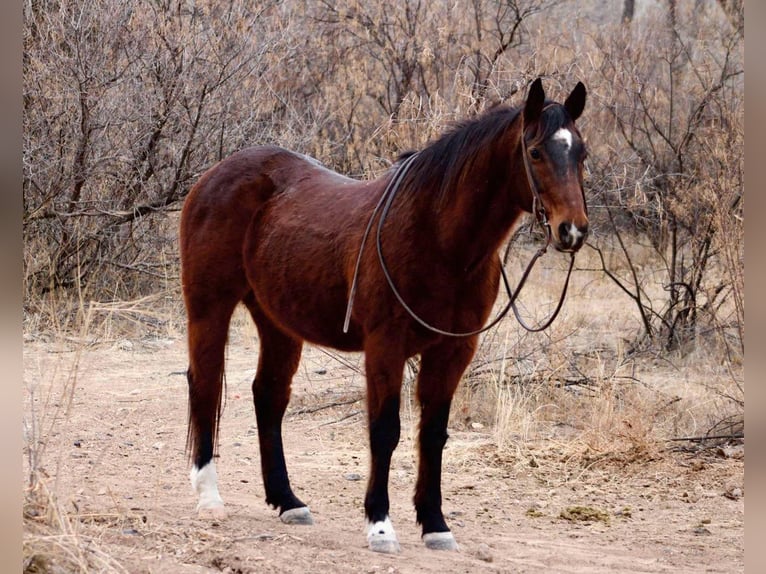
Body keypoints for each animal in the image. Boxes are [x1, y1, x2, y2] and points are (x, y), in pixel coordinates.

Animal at [180, 78, 588, 553]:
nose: (572, 231)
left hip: (278, 324)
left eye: (581, 153)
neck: (438, 238)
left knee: (268, 396)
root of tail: (214, 175)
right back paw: (209, 496)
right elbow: (384, 431)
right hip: (209, 309)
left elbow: (433, 435)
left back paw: (288, 500)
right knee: (206, 386)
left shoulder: (453, 351)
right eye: (536, 152)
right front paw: (380, 525)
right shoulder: (385, 348)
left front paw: (435, 525)